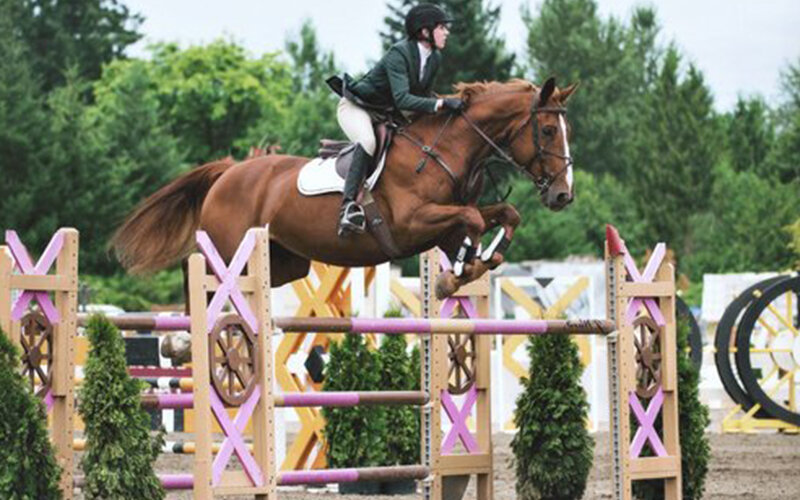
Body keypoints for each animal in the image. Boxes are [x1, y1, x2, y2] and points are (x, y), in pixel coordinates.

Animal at [111, 76, 576, 298]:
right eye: (548, 131)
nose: (563, 195)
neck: (444, 150)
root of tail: (228, 173)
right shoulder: (412, 223)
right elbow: (473, 220)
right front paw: (459, 272)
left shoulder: (445, 224)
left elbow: (501, 214)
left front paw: (477, 263)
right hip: (228, 254)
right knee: (203, 283)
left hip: (285, 262)